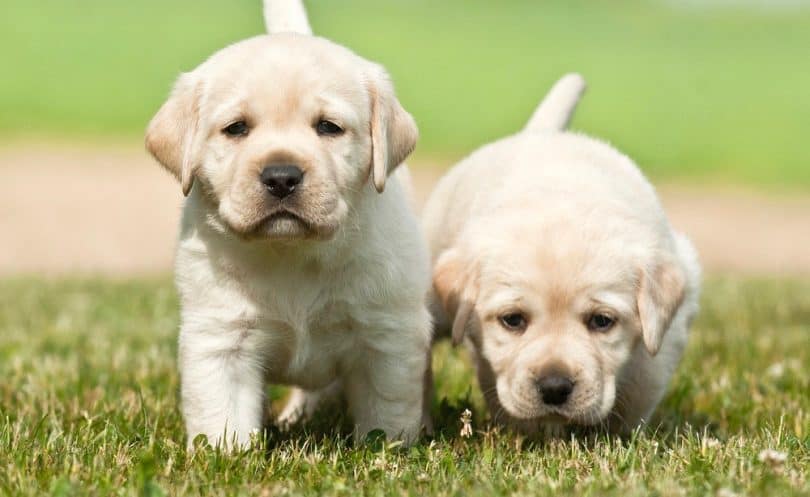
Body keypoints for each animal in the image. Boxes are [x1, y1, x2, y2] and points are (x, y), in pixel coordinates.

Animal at [148, 0, 432, 448]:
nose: (281, 176)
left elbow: (385, 413)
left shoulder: (387, 336)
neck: (292, 252)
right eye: (236, 128)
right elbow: (221, 418)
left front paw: (387, 451)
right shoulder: (221, 338)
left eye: (328, 127)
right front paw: (225, 455)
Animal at [422, 74, 700, 434]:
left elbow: (642, 384)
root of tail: (541, 132)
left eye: (602, 321)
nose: (554, 387)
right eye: (512, 320)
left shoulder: (666, 334)